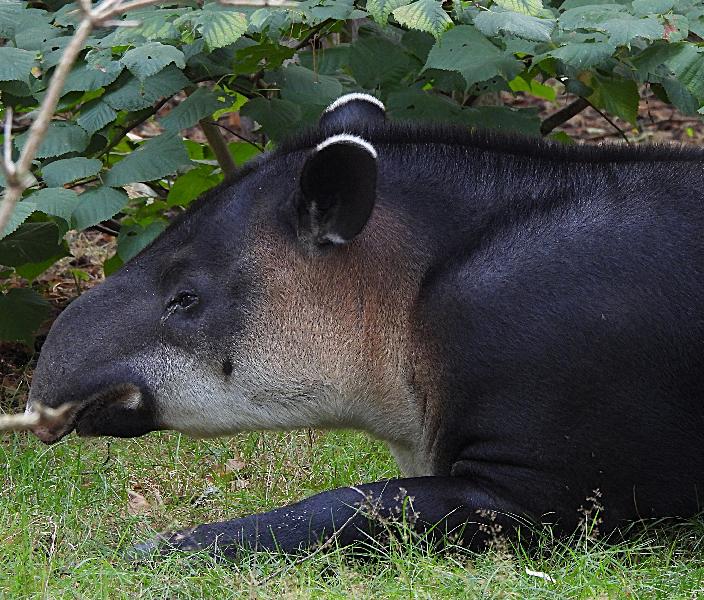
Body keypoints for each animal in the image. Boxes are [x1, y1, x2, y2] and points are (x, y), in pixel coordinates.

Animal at [26, 93, 704, 556]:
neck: (411, 290)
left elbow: (343, 509)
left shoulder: (543, 480)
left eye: (186, 298)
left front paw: (150, 552)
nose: (41, 395)